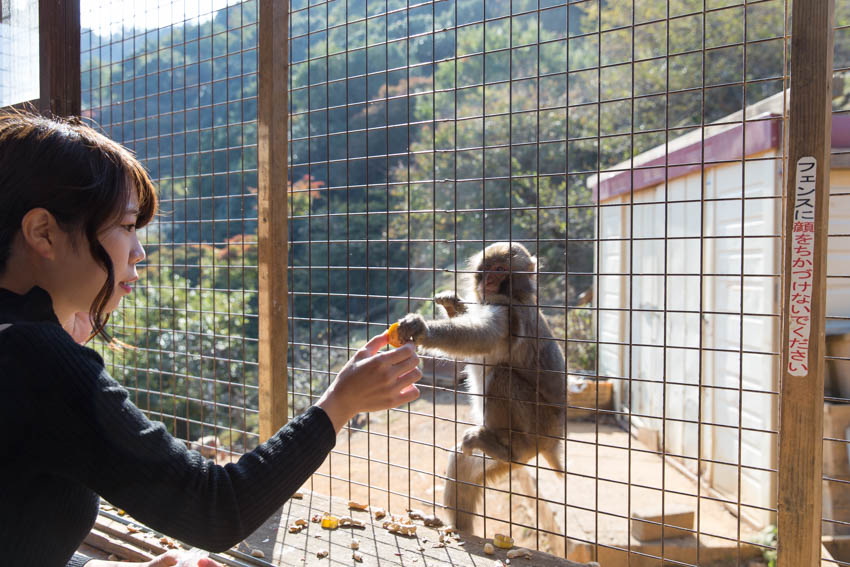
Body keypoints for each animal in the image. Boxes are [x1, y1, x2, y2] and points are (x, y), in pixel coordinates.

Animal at [394, 243, 568, 532]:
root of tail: (553, 443)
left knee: (501, 376)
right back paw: (456, 528)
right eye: (487, 269)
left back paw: (509, 450)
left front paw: (424, 330)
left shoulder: (508, 312)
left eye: (500, 269)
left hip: (540, 426)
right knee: (462, 462)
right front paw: (453, 305)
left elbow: (482, 335)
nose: (488, 281)